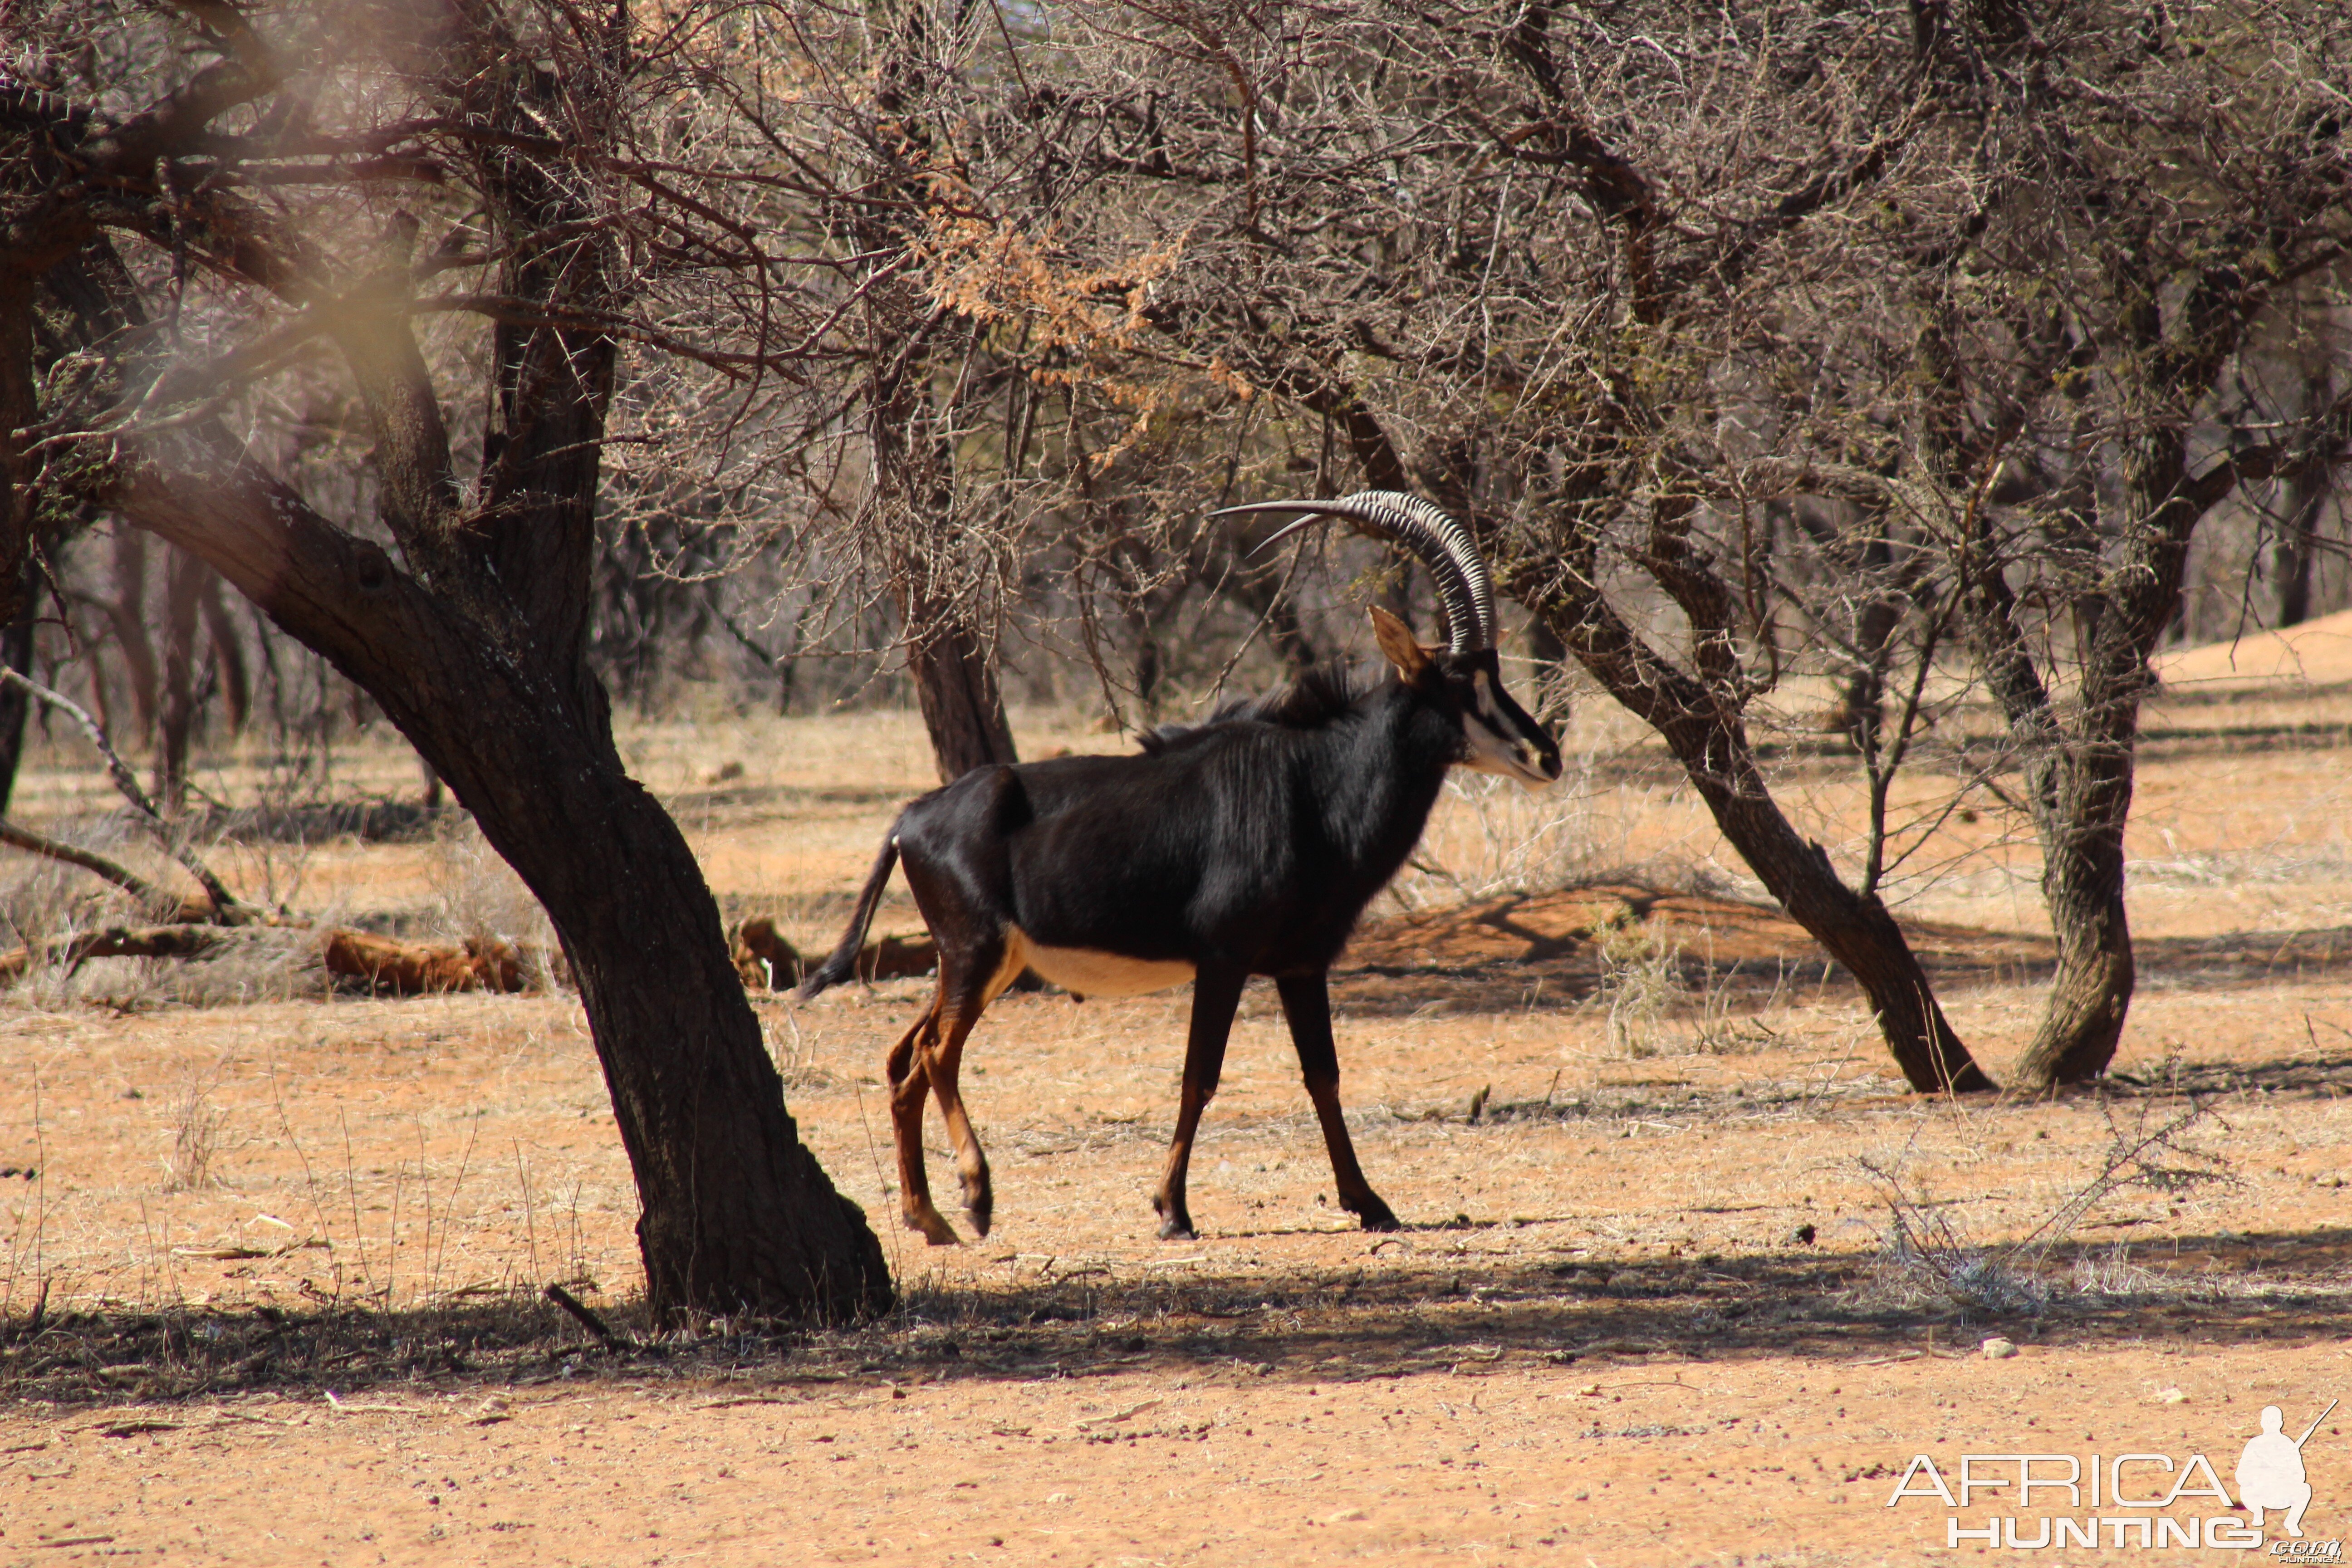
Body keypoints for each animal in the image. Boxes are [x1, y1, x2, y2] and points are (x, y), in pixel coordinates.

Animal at [795, 496, 1562, 1241]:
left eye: (1495, 675)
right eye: (1460, 684)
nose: (1545, 755)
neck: (1312, 784)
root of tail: (910, 819)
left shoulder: (1301, 965)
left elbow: (1324, 1076)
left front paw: (1369, 1201)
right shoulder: (1223, 959)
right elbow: (1202, 1076)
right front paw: (1173, 1211)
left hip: (976, 964)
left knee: (904, 1060)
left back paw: (928, 1218)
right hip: (977, 955)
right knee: (935, 1053)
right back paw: (977, 1199)